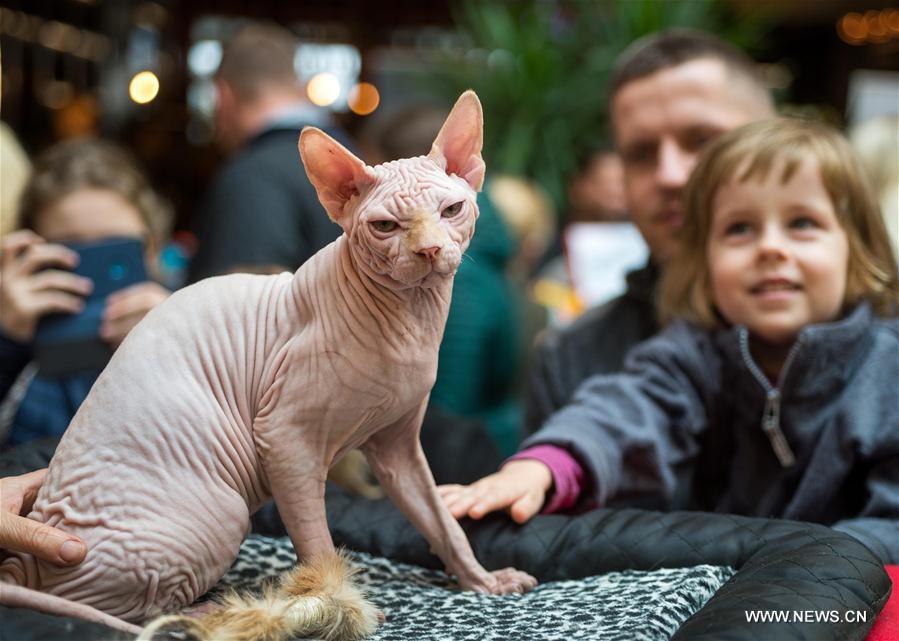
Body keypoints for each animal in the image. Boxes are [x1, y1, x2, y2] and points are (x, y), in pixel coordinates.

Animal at [0, 91, 536, 640]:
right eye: (385, 226)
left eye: (452, 210)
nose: (429, 250)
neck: (409, 322)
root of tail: (36, 549)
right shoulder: (284, 439)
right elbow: (317, 541)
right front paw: (334, 601)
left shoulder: (398, 446)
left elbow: (441, 522)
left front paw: (483, 581)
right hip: (223, 511)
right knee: (123, 610)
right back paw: (214, 614)